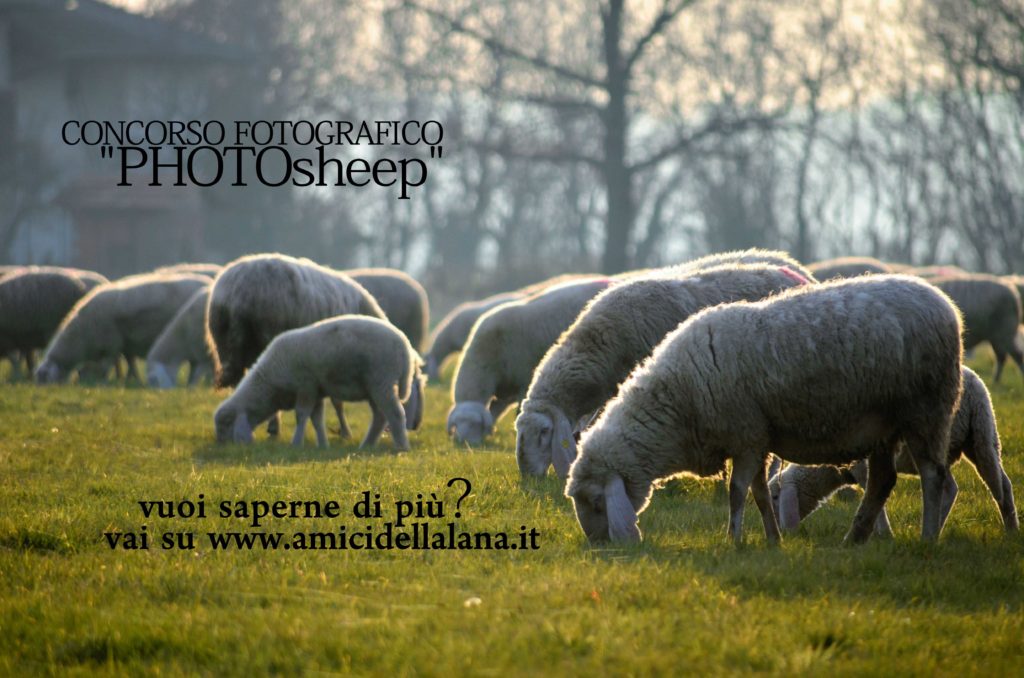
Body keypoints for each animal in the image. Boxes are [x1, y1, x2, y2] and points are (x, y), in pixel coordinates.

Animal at [34, 273, 209, 383]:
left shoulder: (111, 343)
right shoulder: (124, 343)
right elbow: (127, 361)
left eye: (44, 379)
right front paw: (130, 378)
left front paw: (107, 380)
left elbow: (108, 364)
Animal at [214, 315, 424, 451]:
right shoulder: (317, 390)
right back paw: (367, 445)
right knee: (380, 417)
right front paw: (323, 444)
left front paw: (296, 444)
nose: (221, 447)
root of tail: (406, 347)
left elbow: (301, 415)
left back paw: (401, 447)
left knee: (395, 413)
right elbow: (316, 419)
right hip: (374, 386)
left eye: (226, 423)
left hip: (382, 380)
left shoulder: (306, 386)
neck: (270, 383)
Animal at [447, 278, 613, 445]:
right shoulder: (505, 391)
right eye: (455, 425)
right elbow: (494, 411)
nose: (464, 444)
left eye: (475, 424)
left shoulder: (524, 380)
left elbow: (518, 411)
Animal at [565, 275, 963, 546]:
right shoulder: (755, 441)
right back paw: (855, 538)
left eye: (597, 501)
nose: (599, 546)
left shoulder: (747, 436)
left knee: (932, 476)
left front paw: (734, 539)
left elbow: (737, 491)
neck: (679, 402)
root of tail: (944, 303)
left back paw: (927, 537)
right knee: (883, 481)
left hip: (927, 409)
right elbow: (757, 493)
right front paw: (772, 539)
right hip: (884, 425)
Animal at [771, 366, 1017, 534]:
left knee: (975, 486)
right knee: (982, 485)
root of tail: (976, 387)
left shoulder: (862, 467)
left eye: (775, 496)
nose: (778, 531)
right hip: (979, 436)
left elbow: (874, 494)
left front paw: (882, 533)